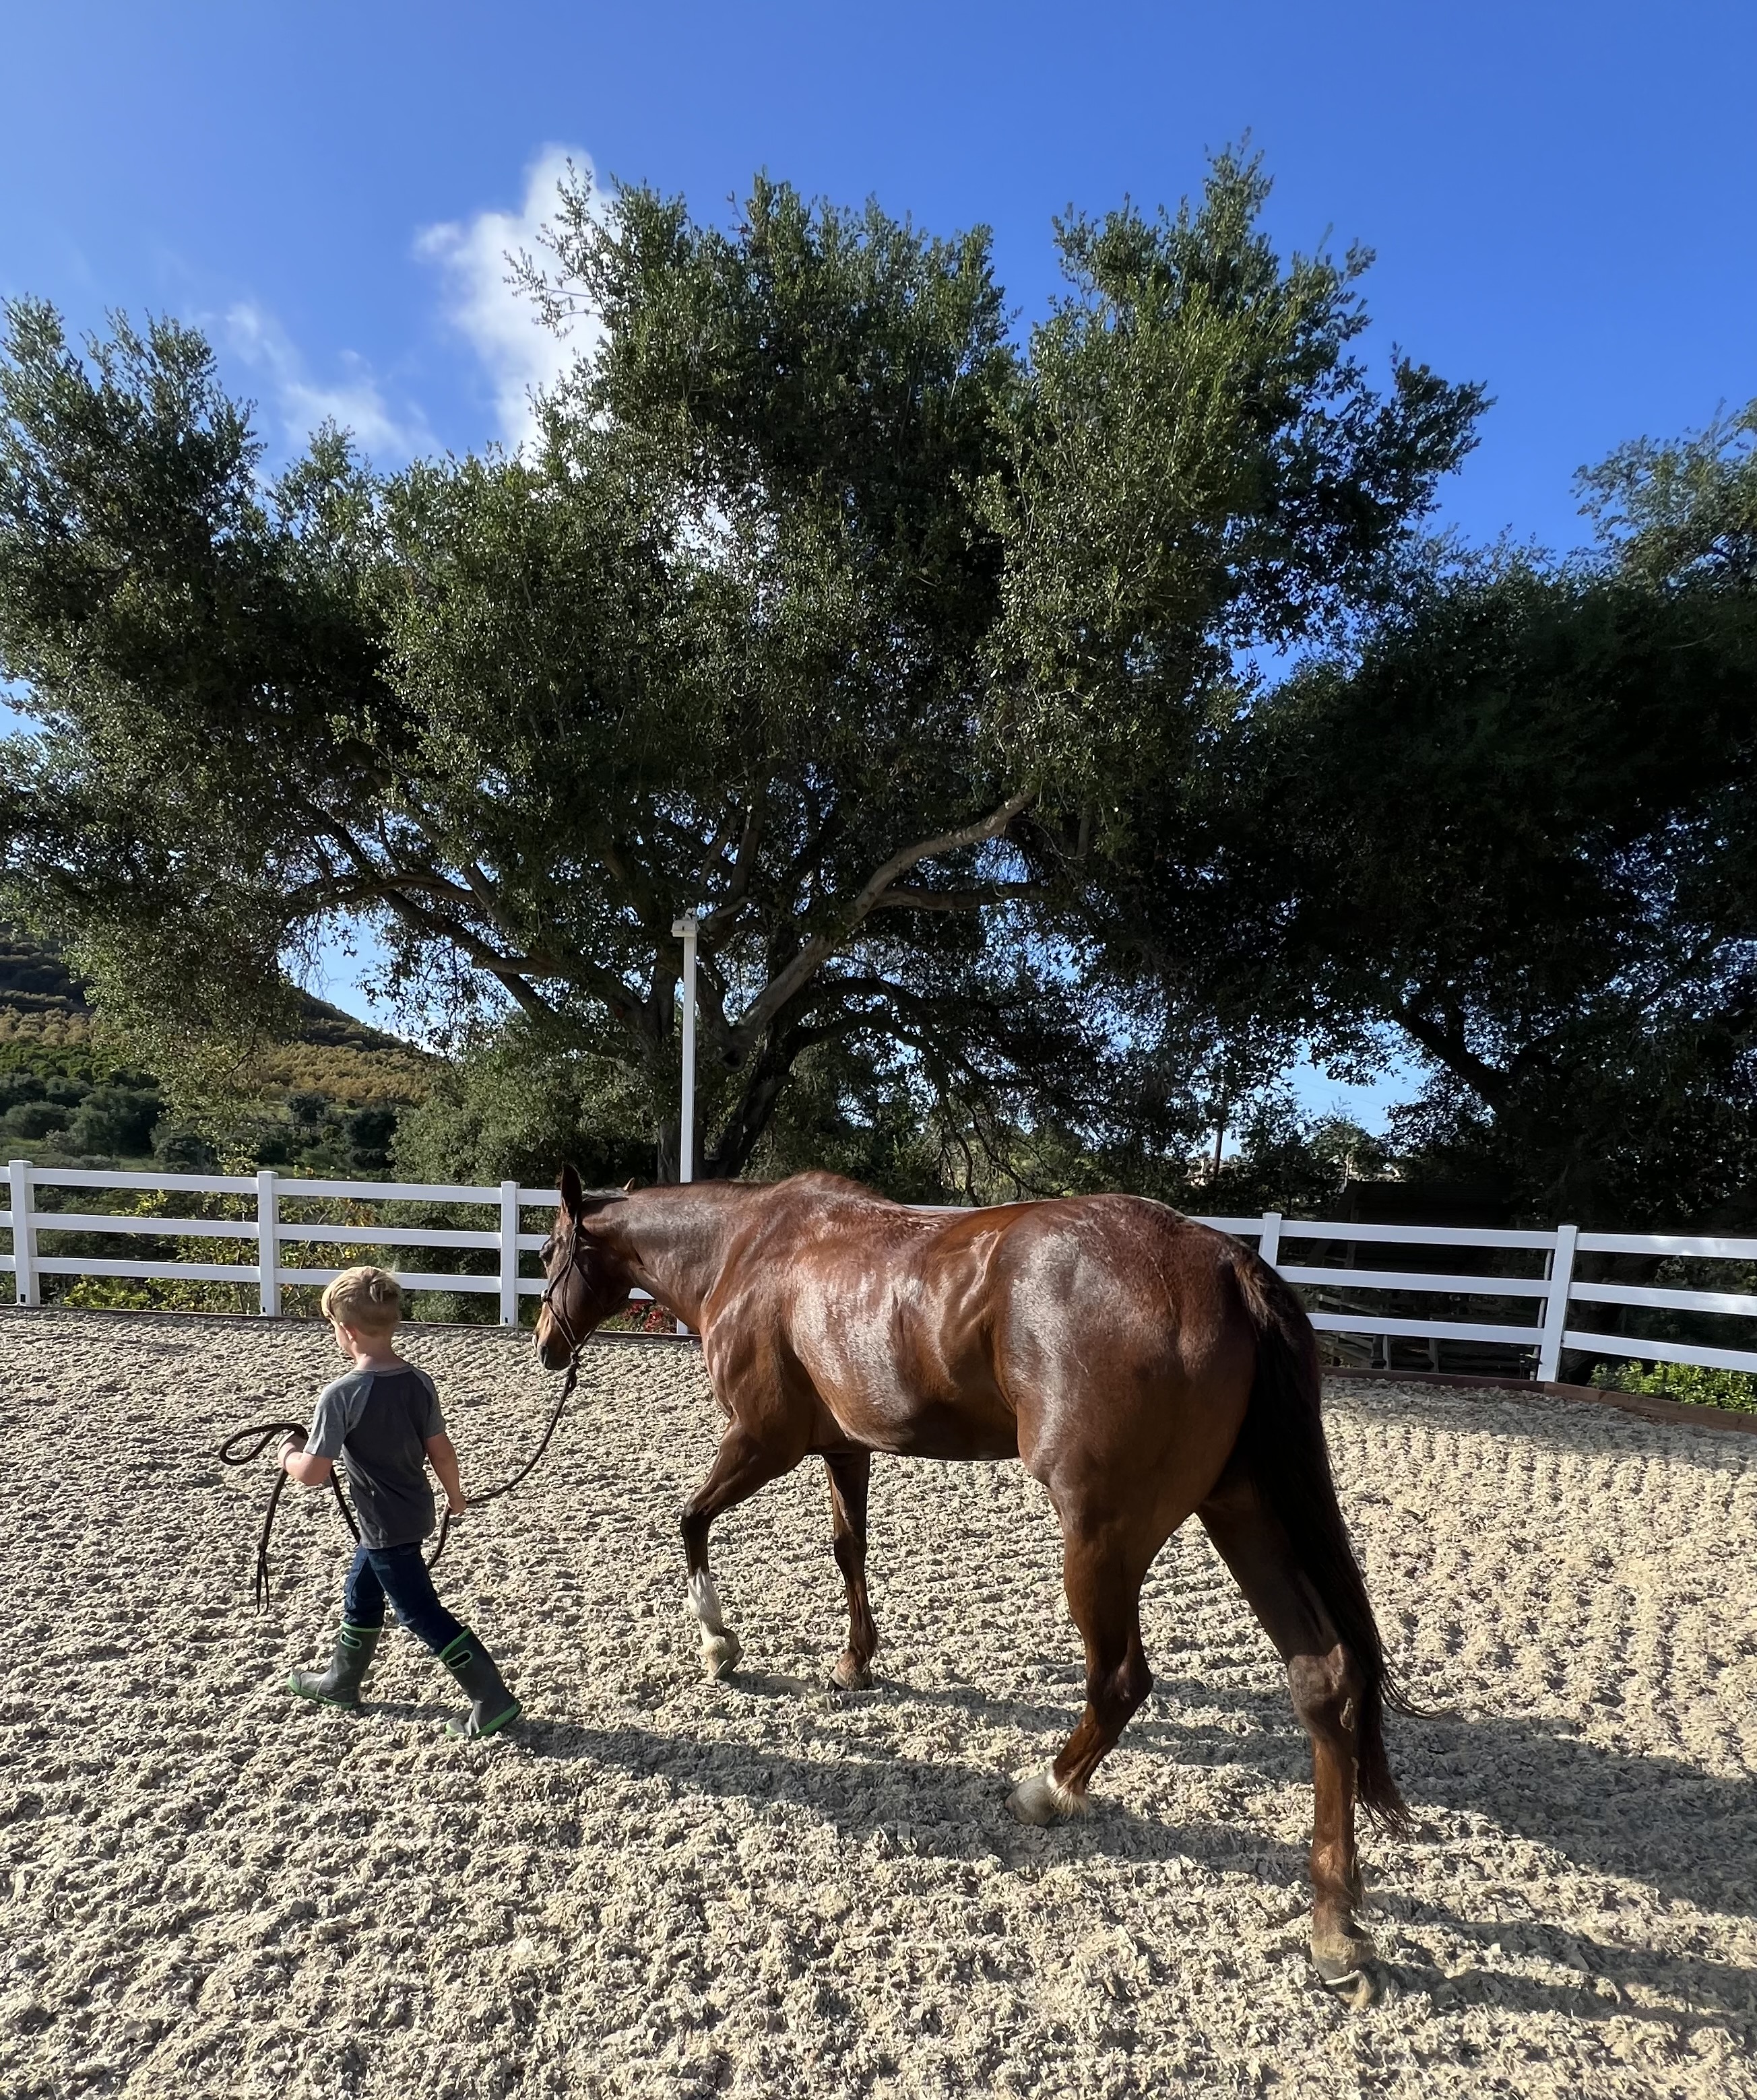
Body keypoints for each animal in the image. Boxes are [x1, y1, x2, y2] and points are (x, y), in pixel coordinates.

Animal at [534, 1163, 1412, 1996]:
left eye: (547, 1250)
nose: (546, 1343)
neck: (749, 1248)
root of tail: (1224, 1262)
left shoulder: (763, 1440)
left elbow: (689, 1520)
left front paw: (719, 1642)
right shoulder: (843, 1447)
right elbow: (848, 1547)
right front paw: (853, 1661)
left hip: (1103, 1534)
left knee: (1121, 1678)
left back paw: (1048, 1789)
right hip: (1241, 1510)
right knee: (1322, 1678)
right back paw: (1335, 1926)